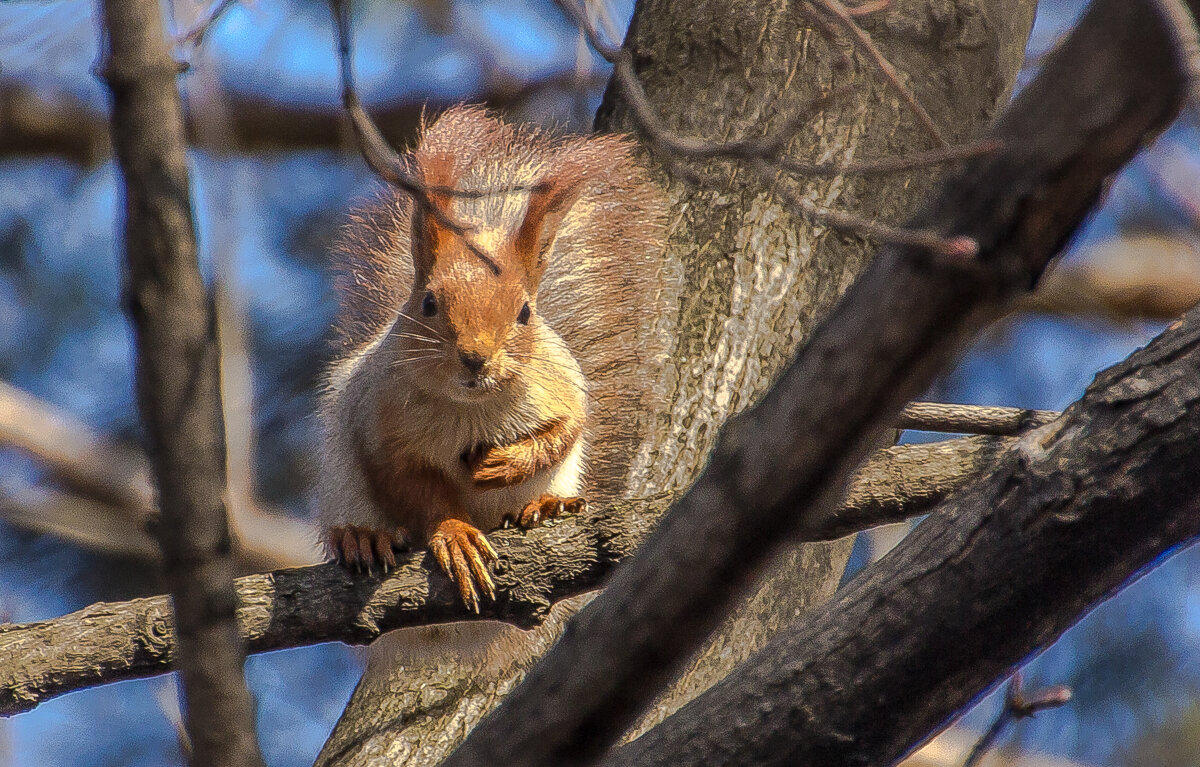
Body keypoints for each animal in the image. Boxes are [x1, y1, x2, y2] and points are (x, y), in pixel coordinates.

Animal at [316, 108, 667, 612]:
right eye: (428, 303)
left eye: (525, 312)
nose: (475, 358)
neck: (473, 407)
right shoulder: (379, 424)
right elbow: (414, 487)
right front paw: (456, 534)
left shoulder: (561, 386)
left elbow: (565, 431)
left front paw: (506, 464)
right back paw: (361, 537)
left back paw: (547, 505)